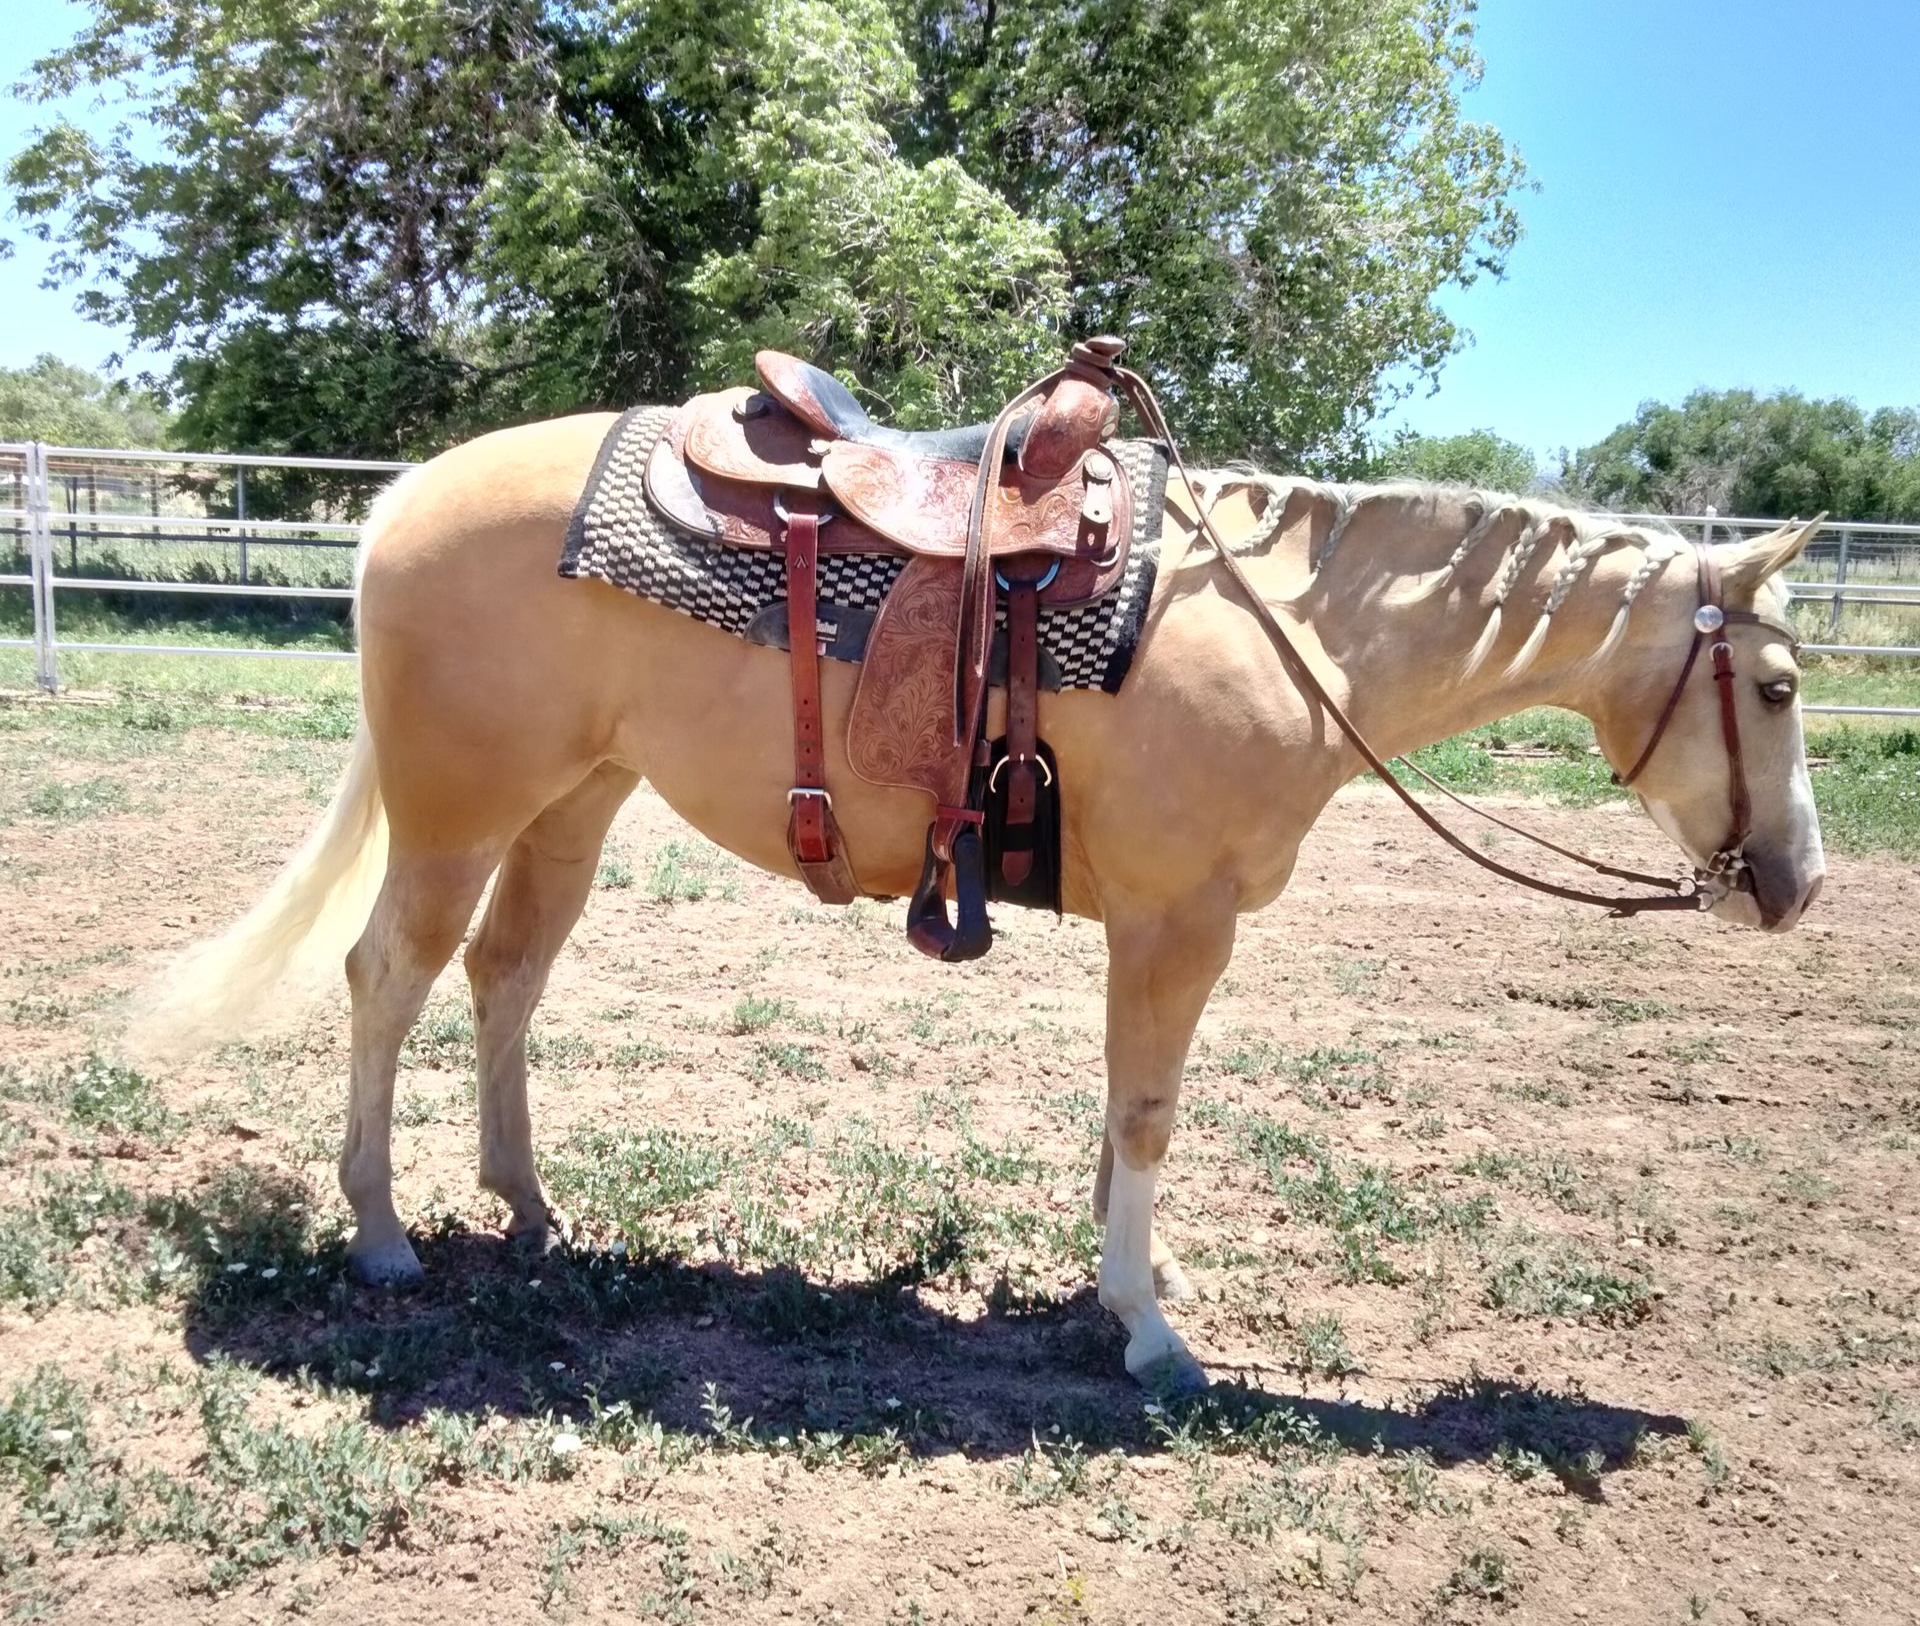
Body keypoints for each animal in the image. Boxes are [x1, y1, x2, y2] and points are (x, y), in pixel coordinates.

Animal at [132, 412, 1826, 1394]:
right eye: (1780, 685)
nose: (1801, 884)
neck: (1289, 632)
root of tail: (401, 495)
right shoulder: (1178, 918)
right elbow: (1148, 1107)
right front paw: (1146, 1325)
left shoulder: (1155, 928)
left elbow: (1122, 1103)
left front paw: (1123, 1274)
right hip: (460, 808)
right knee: (389, 974)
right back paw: (381, 1234)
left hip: (576, 802)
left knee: (505, 976)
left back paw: (529, 1205)